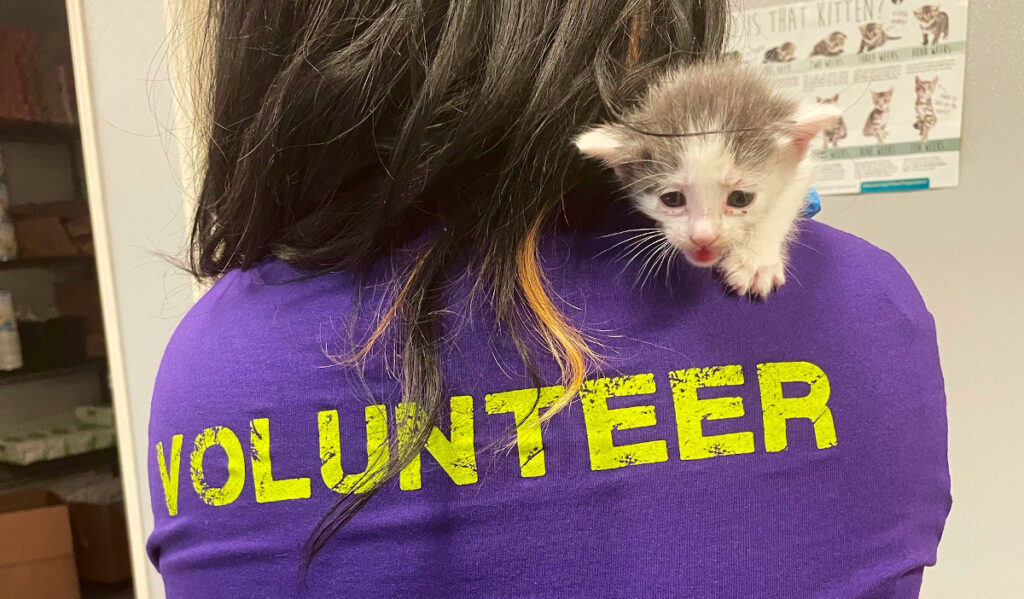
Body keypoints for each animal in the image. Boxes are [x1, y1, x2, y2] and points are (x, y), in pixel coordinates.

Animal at [573, 61, 835, 294]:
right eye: (672, 199)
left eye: (740, 198)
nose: (703, 237)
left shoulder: (801, 168)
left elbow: (782, 204)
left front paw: (754, 261)